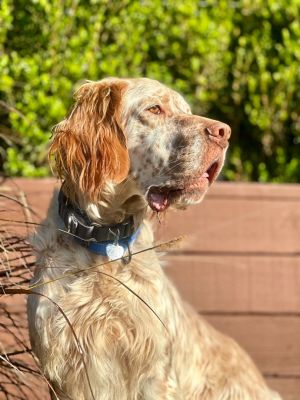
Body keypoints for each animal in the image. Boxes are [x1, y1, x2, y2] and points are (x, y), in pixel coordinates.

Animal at [26, 76, 282, 398]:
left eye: (186, 110)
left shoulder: (154, 371)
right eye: (155, 109)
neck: (105, 246)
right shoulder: (63, 373)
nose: (224, 132)